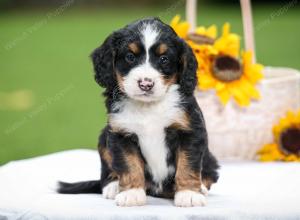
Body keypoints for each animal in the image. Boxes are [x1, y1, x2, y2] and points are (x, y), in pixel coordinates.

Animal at [57, 17, 219, 206]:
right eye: (130, 57)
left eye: (164, 59)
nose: (146, 84)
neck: (148, 107)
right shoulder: (121, 133)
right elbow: (129, 164)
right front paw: (132, 193)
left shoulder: (189, 131)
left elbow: (188, 164)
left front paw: (188, 194)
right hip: (104, 137)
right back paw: (113, 186)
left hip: (210, 159)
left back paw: (200, 188)